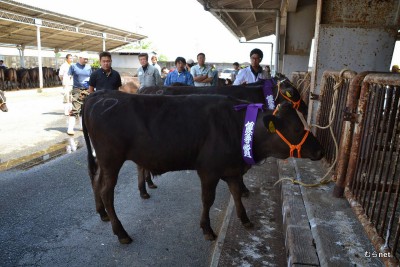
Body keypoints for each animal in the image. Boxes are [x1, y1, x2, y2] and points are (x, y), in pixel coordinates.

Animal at [83, 90, 324, 245]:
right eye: (296, 128)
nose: (321, 150)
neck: (239, 126)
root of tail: (100, 96)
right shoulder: (209, 170)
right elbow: (208, 200)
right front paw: (207, 229)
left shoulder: (232, 169)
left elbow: (236, 193)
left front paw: (245, 219)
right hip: (111, 159)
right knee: (106, 191)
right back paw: (121, 232)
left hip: (104, 162)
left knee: (95, 181)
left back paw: (102, 213)